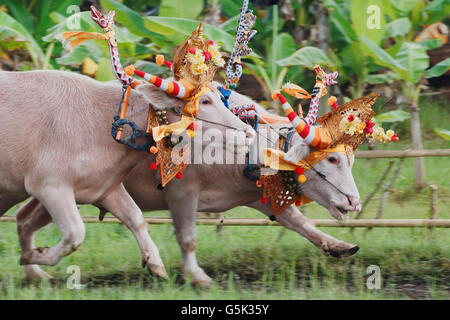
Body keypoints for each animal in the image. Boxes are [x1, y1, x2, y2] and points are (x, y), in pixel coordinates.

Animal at [0, 69, 253, 278]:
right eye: (206, 101)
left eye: (220, 99)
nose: (247, 132)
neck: (102, 125)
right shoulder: (49, 187)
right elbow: (75, 234)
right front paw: (35, 255)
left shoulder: (106, 189)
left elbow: (136, 218)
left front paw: (155, 264)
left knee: (22, 219)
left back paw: (36, 275)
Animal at [9, 84, 362, 286]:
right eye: (332, 160)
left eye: (350, 159)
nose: (354, 202)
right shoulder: (182, 194)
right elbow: (188, 238)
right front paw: (196, 276)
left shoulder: (259, 196)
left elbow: (300, 223)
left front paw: (339, 245)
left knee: (24, 219)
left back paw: (33, 270)